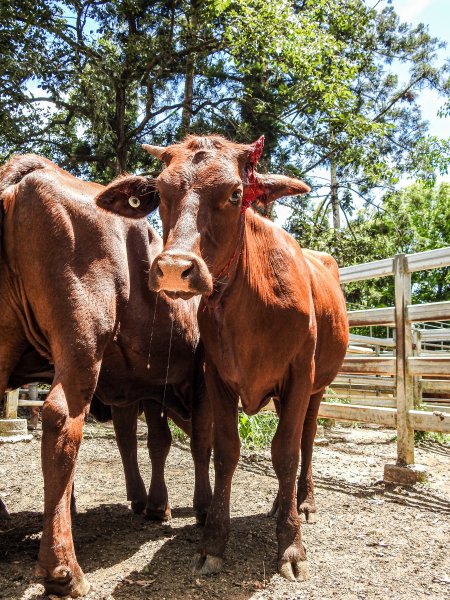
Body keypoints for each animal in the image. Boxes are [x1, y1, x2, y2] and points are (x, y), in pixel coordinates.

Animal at [0, 157, 212, 596]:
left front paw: (152, 502)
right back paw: (62, 568)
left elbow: (147, 442)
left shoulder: (144, 388)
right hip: (82, 338)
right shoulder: (197, 377)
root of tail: (33, 171)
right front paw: (199, 507)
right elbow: (199, 442)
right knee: (62, 420)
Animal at [94, 135, 348, 580]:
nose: (174, 268)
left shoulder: (300, 375)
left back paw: (302, 502)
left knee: (307, 439)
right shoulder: (216, 378)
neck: (250, 307)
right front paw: (213, 541)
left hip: (318, 388)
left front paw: (291, 546)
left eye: (234, 193)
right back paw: (280, 504)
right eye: (161, 192)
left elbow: (285, 452)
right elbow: (225, 450)